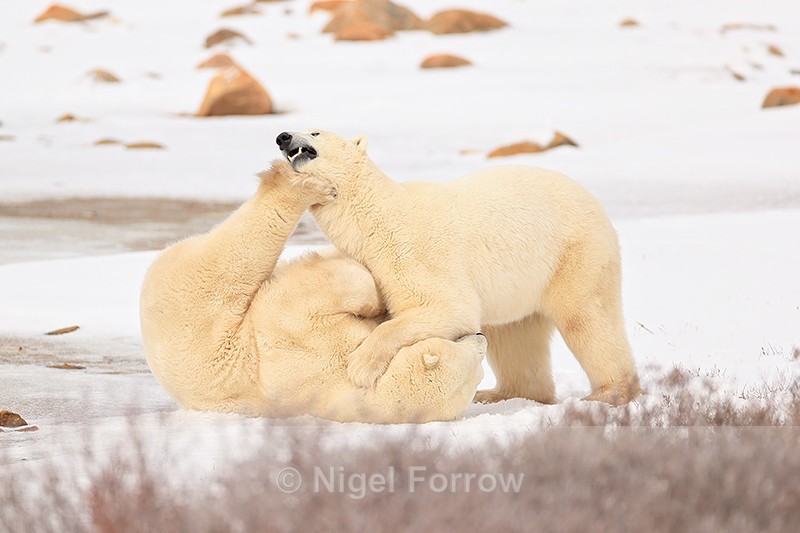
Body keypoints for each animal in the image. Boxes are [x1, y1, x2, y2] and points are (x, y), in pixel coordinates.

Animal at [276, 130, 641, 405]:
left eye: (315, 132)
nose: (282, 137)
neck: (379, 217)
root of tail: (593, 201)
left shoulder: (415, 251)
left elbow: (448, 306)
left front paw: (360, 367)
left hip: (575, 253)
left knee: (588, 318)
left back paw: (608, 393)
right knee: (514, 336)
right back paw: (496, 394)